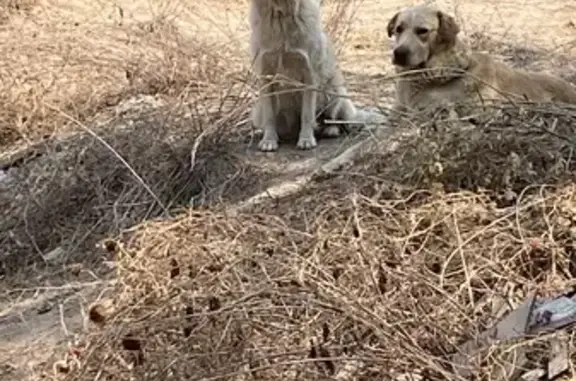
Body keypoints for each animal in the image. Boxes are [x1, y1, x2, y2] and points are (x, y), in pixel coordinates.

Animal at [251, 0, 362, 151]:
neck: (282, 14)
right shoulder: (265, 76)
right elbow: (269, 115)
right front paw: (269, 140)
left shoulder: (309, 76)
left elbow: (307, 114)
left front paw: (306, 139)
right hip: (257, 112)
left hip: (335, 91)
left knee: (335, 118)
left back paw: (330, 130)